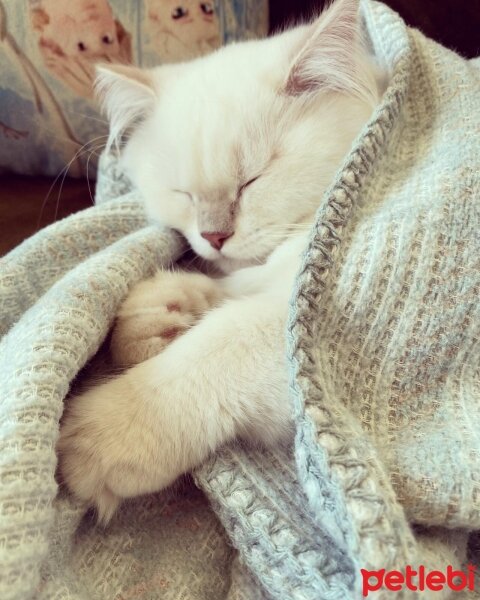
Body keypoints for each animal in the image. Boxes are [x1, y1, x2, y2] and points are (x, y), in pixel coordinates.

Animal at [58, 0, 384, 524]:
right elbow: (215, 292)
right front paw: (157, 319)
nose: (214, 236)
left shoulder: (310, 327)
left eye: (251, 181)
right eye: (183, 194)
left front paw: (101, 435)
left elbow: (216, 343)